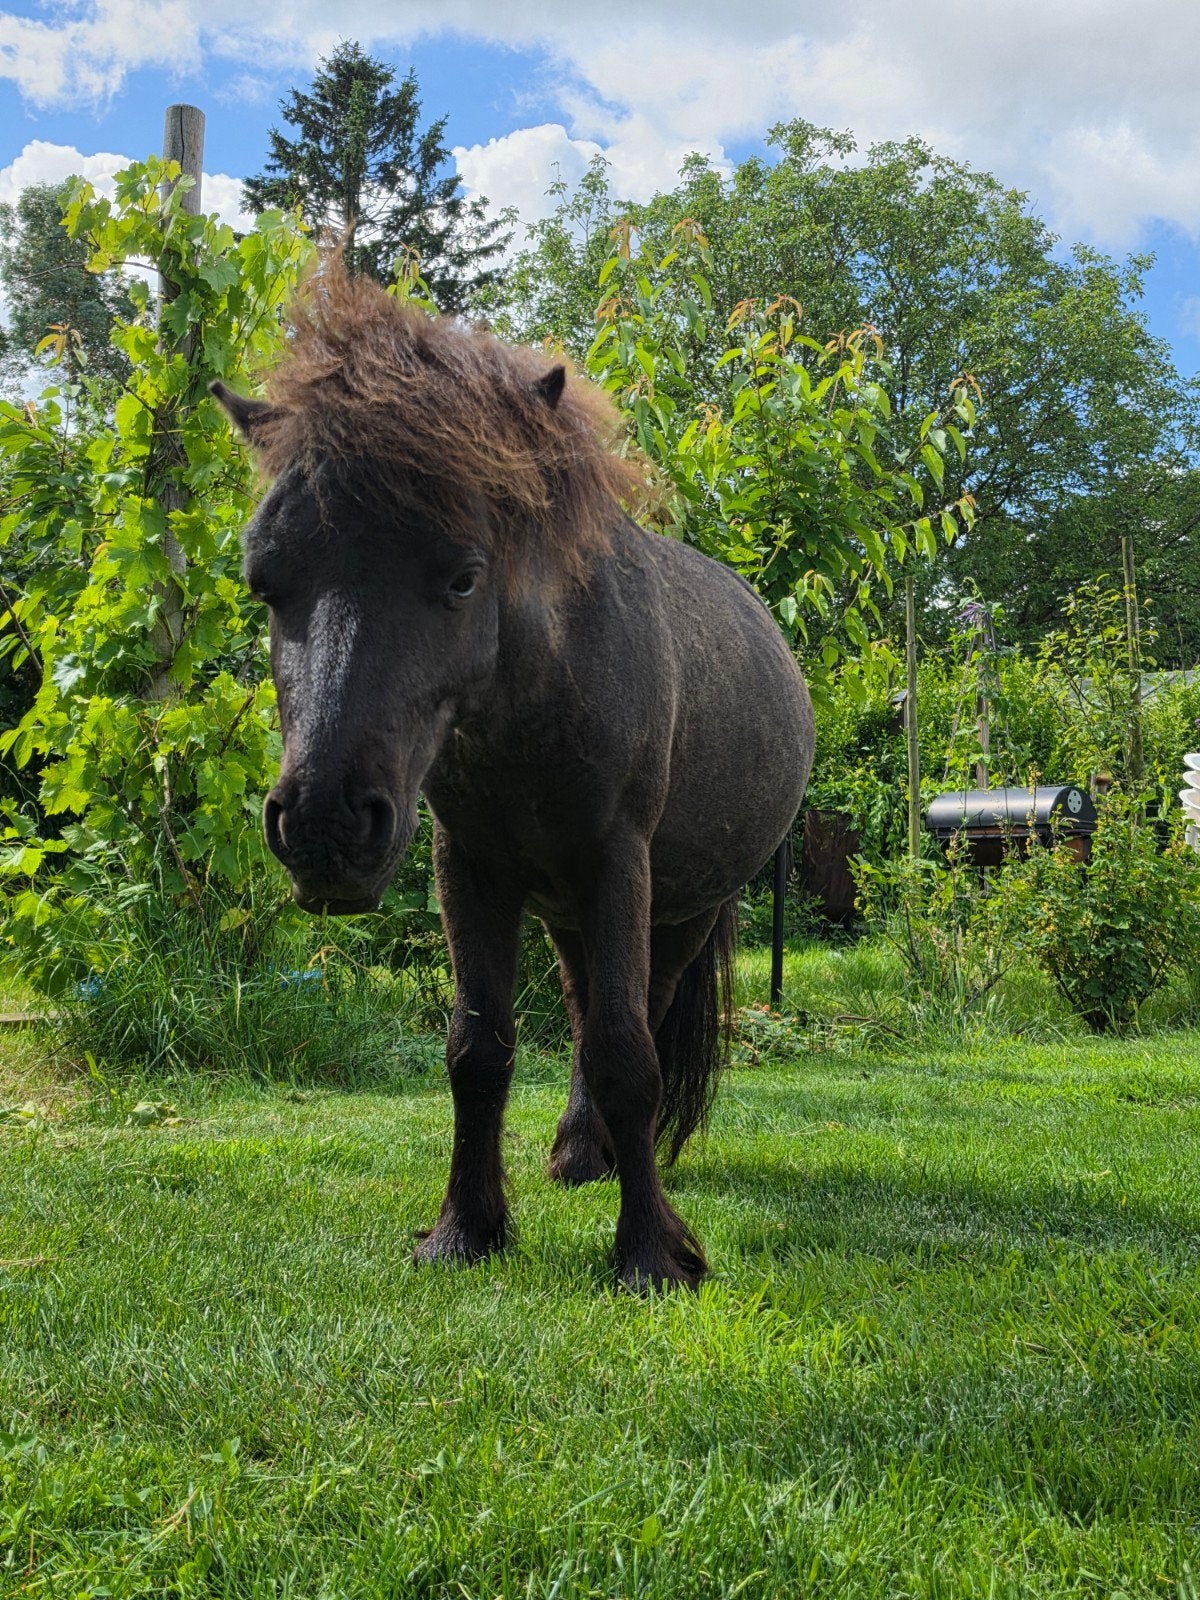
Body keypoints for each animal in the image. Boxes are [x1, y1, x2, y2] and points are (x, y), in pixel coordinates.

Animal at [211, 268, 814, 1291]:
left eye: (462, 578)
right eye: (263, 582)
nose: (325, 826)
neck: (536, 696)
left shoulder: (617, 864)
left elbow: (626, 1052)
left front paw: (652, 1253)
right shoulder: (473, 869)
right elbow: (478, 1048)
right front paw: (466, 1228)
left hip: (680, 911)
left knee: (637, 1015)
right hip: (570, 910)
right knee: (580, 1010)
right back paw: (579, 1153)